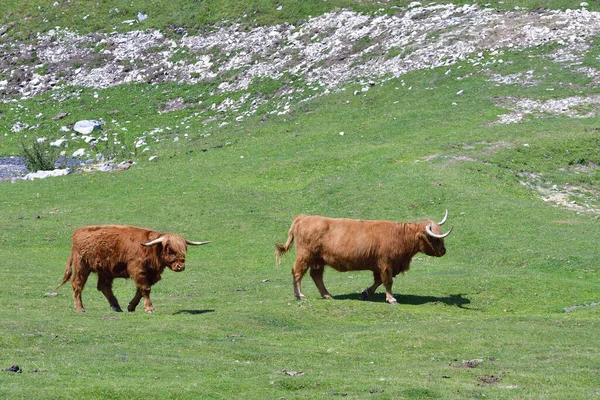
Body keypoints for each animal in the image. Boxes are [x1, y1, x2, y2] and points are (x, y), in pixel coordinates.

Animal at [57, 225, 210, 312]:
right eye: (169, 250)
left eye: (184, 250)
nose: (180, 266)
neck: (152, 250)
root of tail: (78, 233)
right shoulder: (138, 271)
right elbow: (145, 289)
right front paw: (149, 308)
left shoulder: (150, 274)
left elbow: (141, 290)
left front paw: (131, 306)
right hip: (82, 266)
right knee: (77, 285)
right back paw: (80, 308)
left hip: (105, 270)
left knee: (104, 286)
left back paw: (116, 306)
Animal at [274, 209, 452, 304]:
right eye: (435, 238)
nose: (443, 251)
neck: (401, 236)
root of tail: (304, 217)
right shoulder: (386, 264)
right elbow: (387, 282)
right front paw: (391, 299)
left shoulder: (378, 265)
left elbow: (378, 281)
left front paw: (365, 293)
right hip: (305, 255)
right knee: (297, 272)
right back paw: (299, 295)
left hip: (318, 259)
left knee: (316, 276)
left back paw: (327, 295)